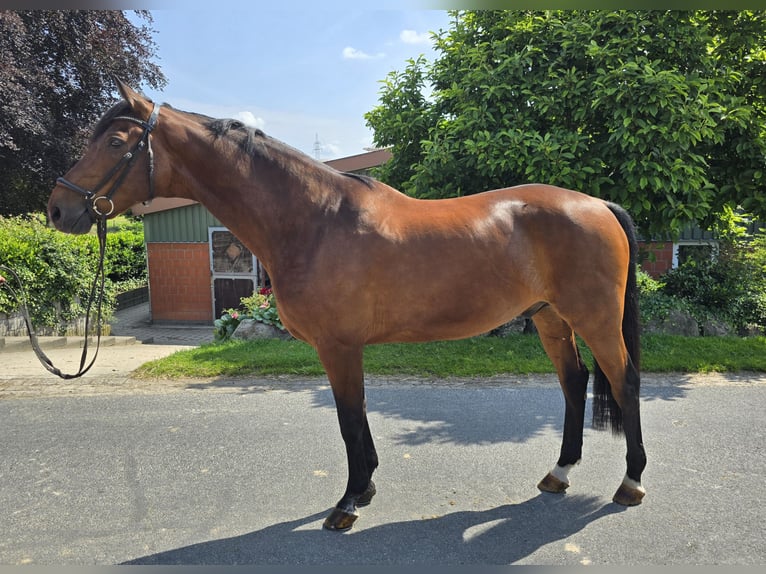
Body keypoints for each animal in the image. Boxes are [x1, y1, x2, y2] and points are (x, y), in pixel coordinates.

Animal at [48, 80, 648, 532]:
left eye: (115, 141)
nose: (57, 209)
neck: (315, 220)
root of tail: (598, 205)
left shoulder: (339, 346)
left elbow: (348, 418)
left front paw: (350, 500)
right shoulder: (342, 347)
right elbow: (354, 416)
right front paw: (368, 485)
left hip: (594, 318)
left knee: (622, 381)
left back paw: (631, 482)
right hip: (551, 317)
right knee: (574, 381)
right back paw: (559, 473)